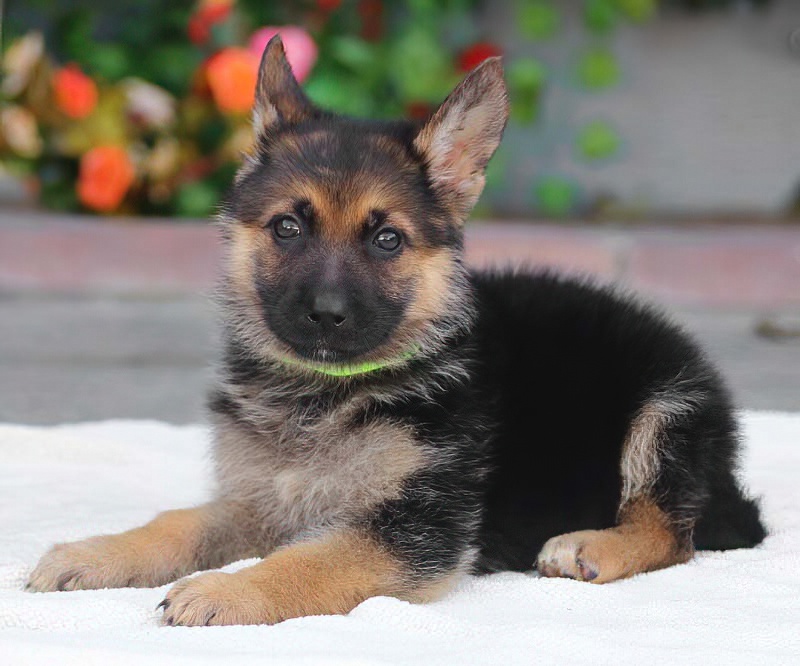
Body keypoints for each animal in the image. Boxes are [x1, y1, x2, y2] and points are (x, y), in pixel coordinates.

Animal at [27, 36, 766, 626]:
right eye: (287, 228)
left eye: (387, 240)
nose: (326, 313)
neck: (326, 394)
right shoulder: (262, 502)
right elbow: (178, 521)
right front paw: (97, 551)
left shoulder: (412, 527)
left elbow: (309, 563)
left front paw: (224, 591)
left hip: (666, 407)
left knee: (672, 530)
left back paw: (592, 545)